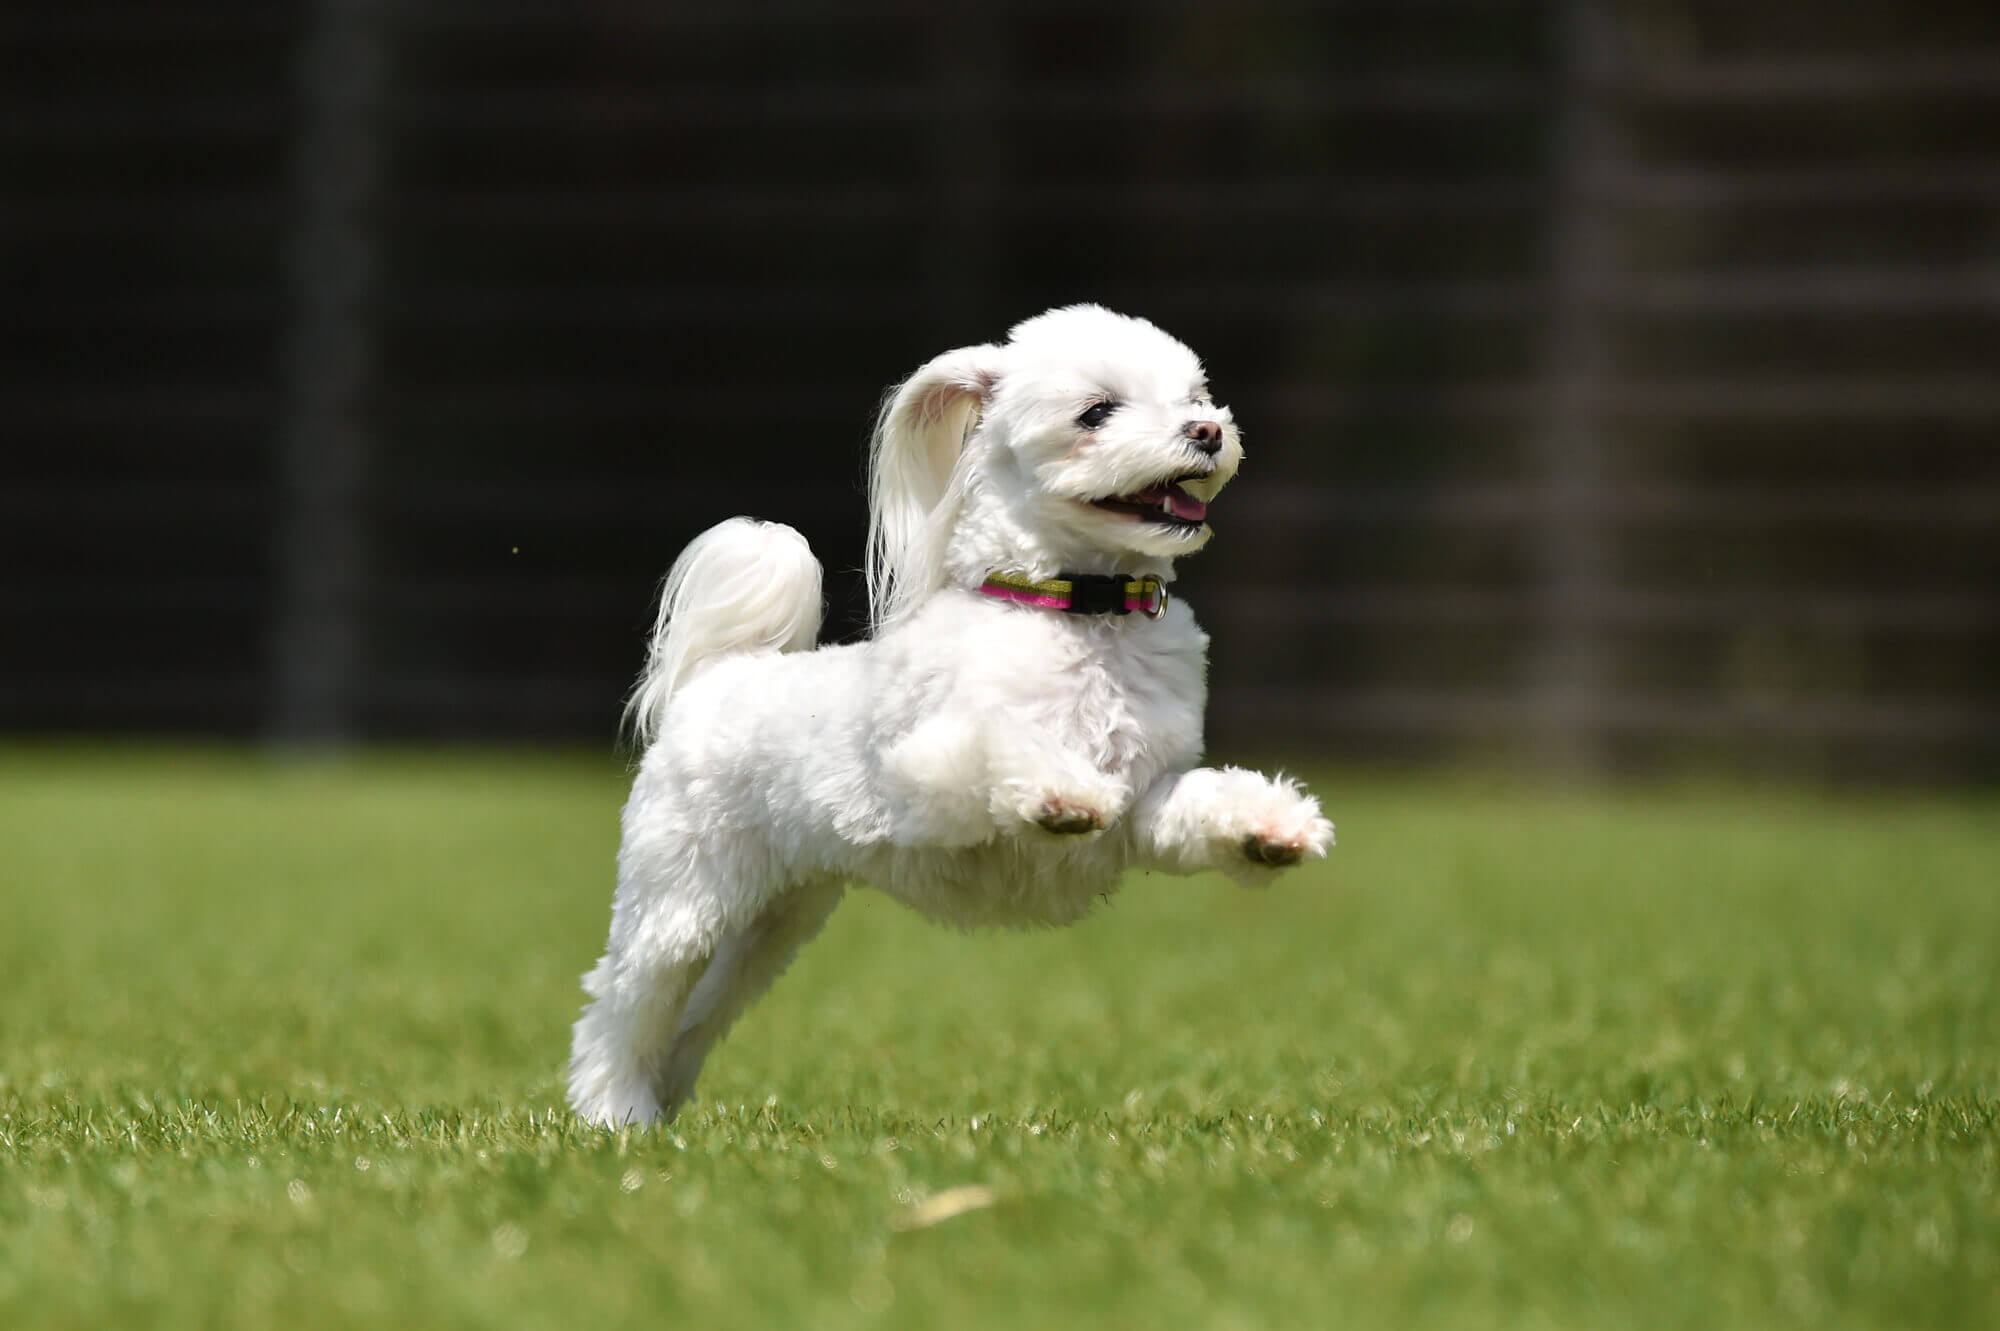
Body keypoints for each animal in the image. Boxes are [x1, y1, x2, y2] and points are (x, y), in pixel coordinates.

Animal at [572, 305, 1336, 1127]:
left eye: (1194, 396)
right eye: (1096, 412)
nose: (1207, 431)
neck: (1078, 612)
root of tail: (721, 675)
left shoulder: (1147, 800)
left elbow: (1195, 804)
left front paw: (1271, 827)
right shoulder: (922, 776)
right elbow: (1001, 745)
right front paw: (1062, 793)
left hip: (768, 923)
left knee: (692, 1017)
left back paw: (661, 1107)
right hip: (682, 895)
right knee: (620, 1006)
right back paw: (614, 1112)